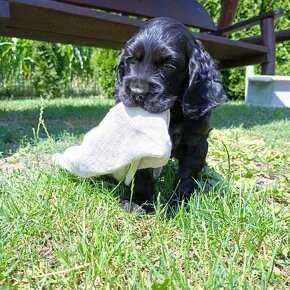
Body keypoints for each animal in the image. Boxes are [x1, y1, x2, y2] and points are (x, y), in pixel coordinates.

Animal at [115, 16, 227, 211]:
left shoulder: (196, 142)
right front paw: (138, 200)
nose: (137, 93)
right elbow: (143, 172)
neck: (173, 113)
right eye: (131, 60)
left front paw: (178, 204)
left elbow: (187, 176)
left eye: (169, 65)